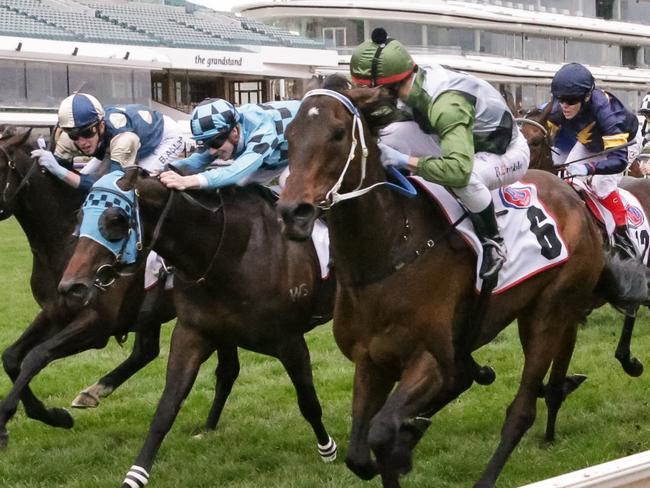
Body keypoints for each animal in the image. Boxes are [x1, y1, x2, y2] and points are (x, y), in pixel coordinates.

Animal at [0, 130, 177, 446]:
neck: (65, 240)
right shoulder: (53, 311)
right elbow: (11, 357)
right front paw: (46, 416)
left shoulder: (97, 325)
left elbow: (36, 356)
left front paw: (20, 419)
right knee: (146, 351)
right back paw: (95, 391)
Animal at [58, 170, 336, 486]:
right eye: (80, 216)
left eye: (115, 220)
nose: (71, 287)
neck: (230, 250)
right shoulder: (194, 333)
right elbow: (167, 407)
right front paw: (136, 474)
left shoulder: (289, 340)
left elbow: (308, 401)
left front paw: (328, 449)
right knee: (227, 372)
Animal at [276, 88, 644, 488]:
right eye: (289, 136)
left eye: (338, 134)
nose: (292, 212)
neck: (390, 252)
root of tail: (574, 200)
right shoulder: (371, 360)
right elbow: (360, 454)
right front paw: (405, 442)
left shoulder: (430, 358)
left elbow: (381, 431)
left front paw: (402, 443)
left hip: (552, 313)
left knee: (522, 410)